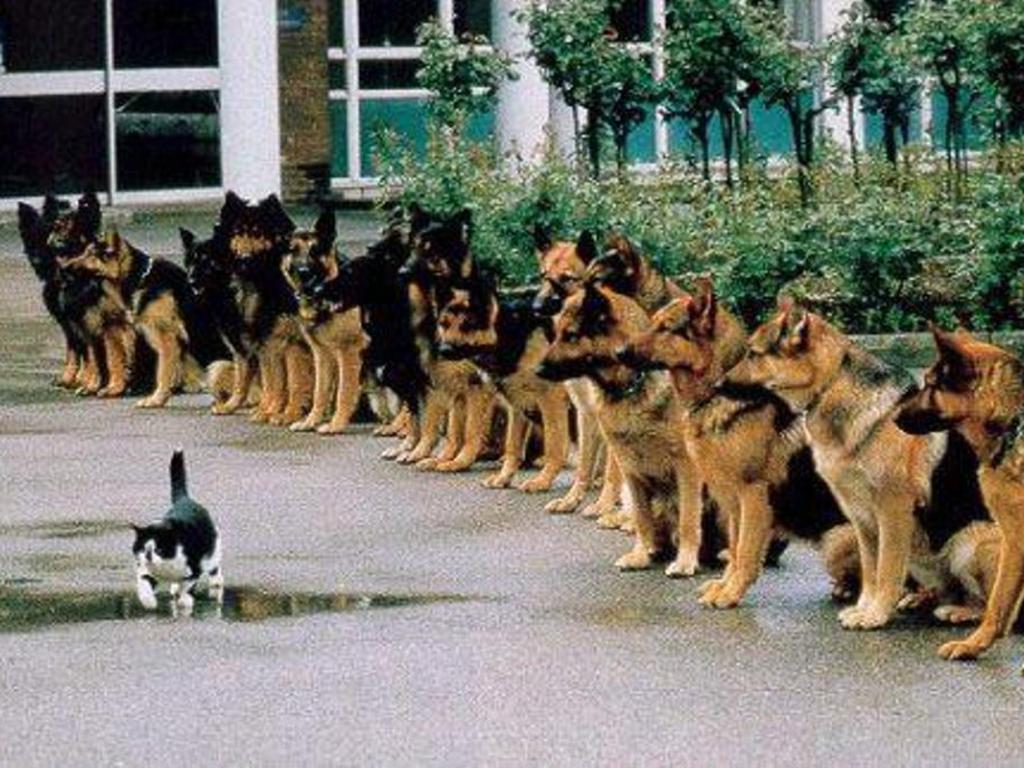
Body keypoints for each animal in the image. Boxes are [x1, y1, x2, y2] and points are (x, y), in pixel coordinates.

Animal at [132, 449, 223, 614]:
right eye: (142, 548)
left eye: (160, 549)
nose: (148, 556)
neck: (166, 566)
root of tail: (184, 499)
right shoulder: (146, 571)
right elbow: (144, 585)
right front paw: (149, 602)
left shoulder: (194, 569)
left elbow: (187, 587)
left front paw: (185, 601)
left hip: (213, 550)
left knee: (214, 568)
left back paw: (215, 583)